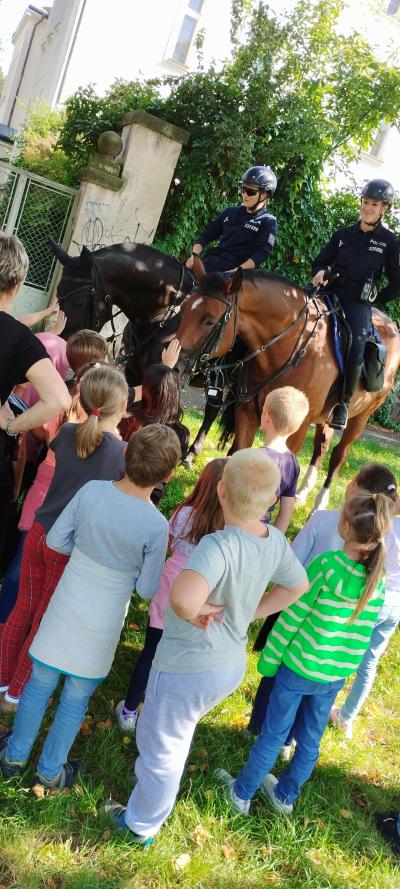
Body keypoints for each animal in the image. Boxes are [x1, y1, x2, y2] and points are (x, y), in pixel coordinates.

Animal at [174, 256, 400, 506]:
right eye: (184, 308)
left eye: (209, 320)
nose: (175, 365)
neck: (290, 345)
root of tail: (391, 325)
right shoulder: (247, 413)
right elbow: (238, 453)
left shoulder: (297, 428)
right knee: (321, 444)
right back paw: (303, 492)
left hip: (361, 417)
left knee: (339, 454)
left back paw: (319, 502)